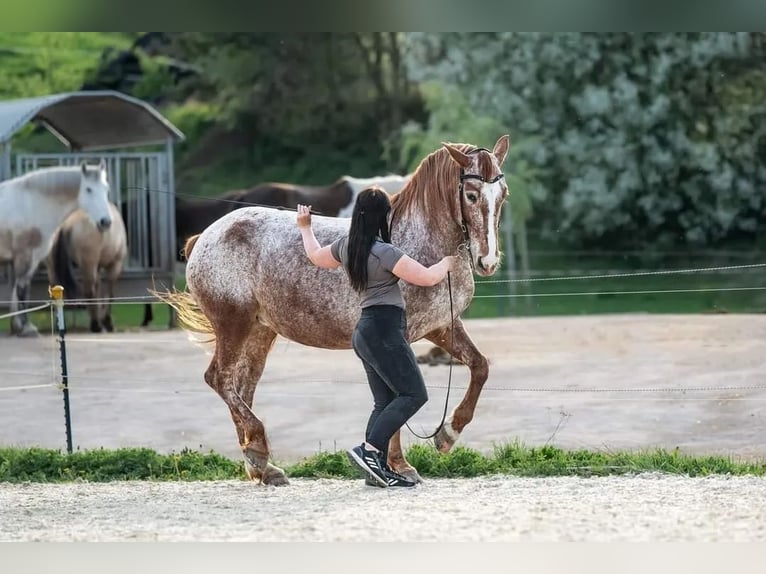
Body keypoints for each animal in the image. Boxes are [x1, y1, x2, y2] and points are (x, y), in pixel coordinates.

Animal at [0, 162, 114, 338]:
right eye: (88, 189)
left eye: (106, 188)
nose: (105, 222)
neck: (32, 205)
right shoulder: (25, 256)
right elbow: (21, 291)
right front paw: (27, 328)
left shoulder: (31, 259)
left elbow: (21, 291)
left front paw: (18, 327)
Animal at [47, 205, 128, 336]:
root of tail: (67, 224)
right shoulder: (115, 264)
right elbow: (108, 295)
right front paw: (107, 322)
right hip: (88, 265)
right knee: (89, 291)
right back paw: (96, 325)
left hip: (52, 268)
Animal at [158, 137, 510, 488]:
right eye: (471, 194)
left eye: (502, 194)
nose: (488, 261)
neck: (417, 243)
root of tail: (206, 236)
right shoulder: (402, 337)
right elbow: (399, 398)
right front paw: (400, 464)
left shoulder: (441, 326)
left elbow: (479, 366)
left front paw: (447, 435)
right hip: (234, 324)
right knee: (220, 379)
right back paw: (258, 450)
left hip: (260, 331)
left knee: (242, 387)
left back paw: (262, 466)